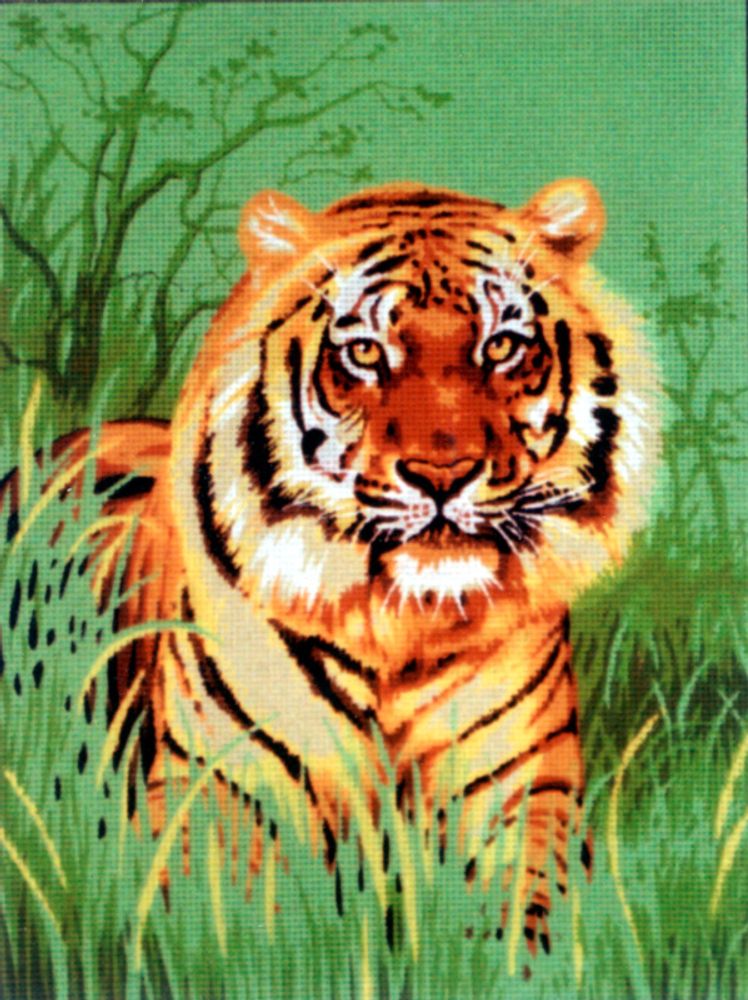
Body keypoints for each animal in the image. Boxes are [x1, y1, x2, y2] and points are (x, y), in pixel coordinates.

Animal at [29, 179, 658, 945]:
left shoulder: (528, 790)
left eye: (502, 346)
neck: (402, 626)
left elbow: (528, 924)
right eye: (364, 352)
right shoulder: (213, 784)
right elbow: (226, 922)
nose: (443, 474)